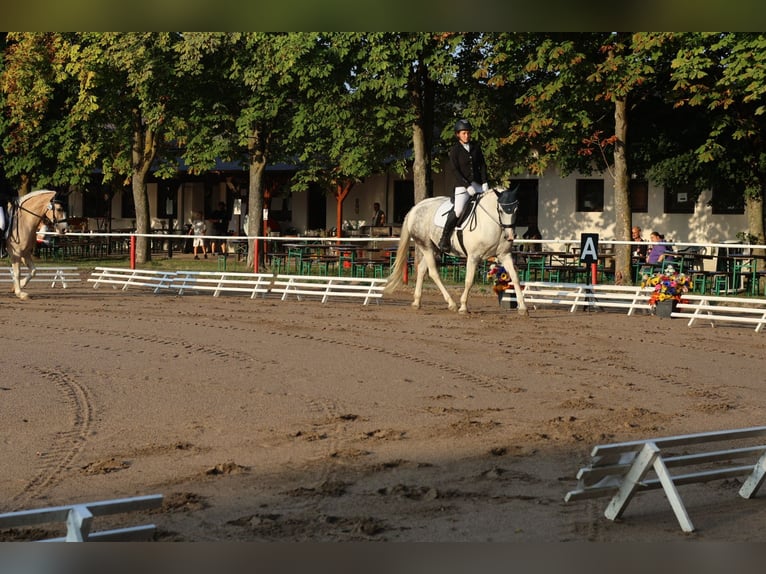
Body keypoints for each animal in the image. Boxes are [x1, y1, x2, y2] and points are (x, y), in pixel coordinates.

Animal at [384, 186, 528, 315]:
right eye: (501, 210)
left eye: (516, 209)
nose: (510, 236)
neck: (492, 223)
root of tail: (415, 209)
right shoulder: (473, 257)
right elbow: (469, 280)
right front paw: (463, 307)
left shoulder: (504, 255)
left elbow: (515, 278)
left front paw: (523, 307)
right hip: (426, 246)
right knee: (433, 273)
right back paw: (452, 304)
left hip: (434, 249)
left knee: (422, 269)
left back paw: (417, 302)